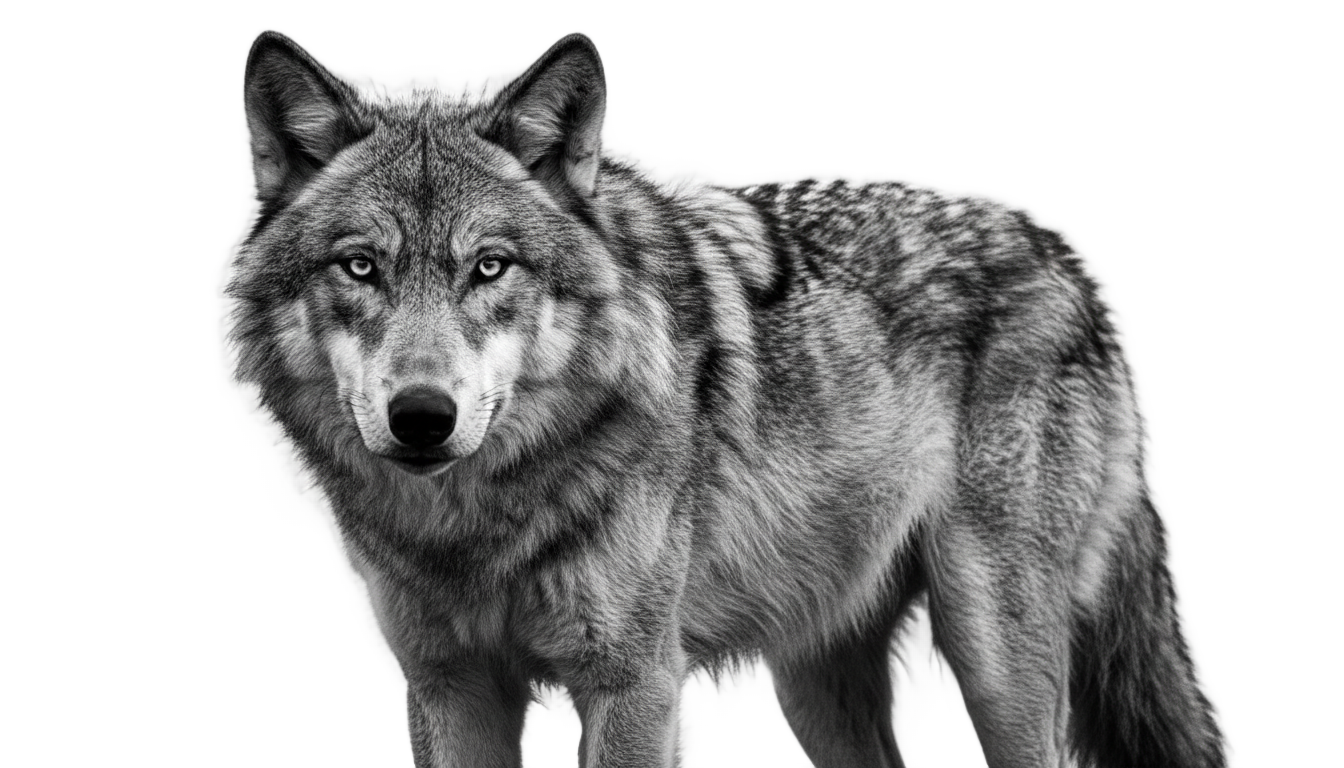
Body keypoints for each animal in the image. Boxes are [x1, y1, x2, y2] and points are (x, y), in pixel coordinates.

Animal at [223, 29, 1225, 768]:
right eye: (361, 266)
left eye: (490, 267)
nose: (422, 417)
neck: (477, 522)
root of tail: (1065, 257)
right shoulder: (450, 686)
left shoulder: (634, 681)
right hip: (819, 680)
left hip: (993, 652)